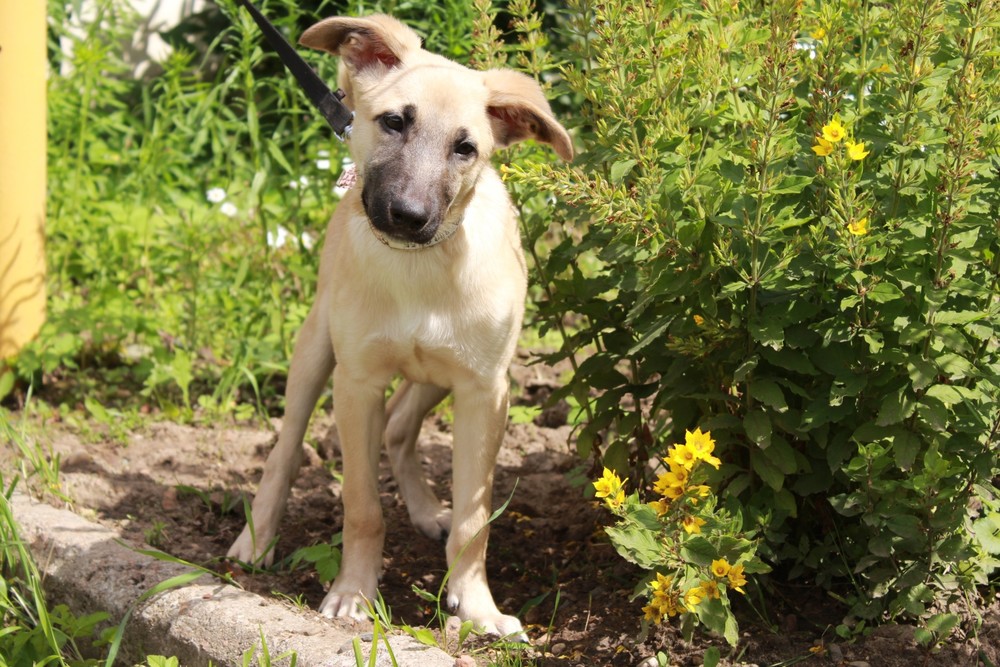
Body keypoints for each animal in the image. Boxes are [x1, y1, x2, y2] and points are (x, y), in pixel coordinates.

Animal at [227, 11, 572, 636]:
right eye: (393, 122)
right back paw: (257, 537)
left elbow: (475, 520)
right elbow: (361, 505)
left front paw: (476, 607)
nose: (409, 217)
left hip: (442, 374)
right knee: (286, 448)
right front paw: (353, 594)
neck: (419, 268)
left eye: (466, 148)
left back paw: (428, 510)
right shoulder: (357, 383)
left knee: (397, 428)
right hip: (315, 349)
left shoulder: (485, 391)